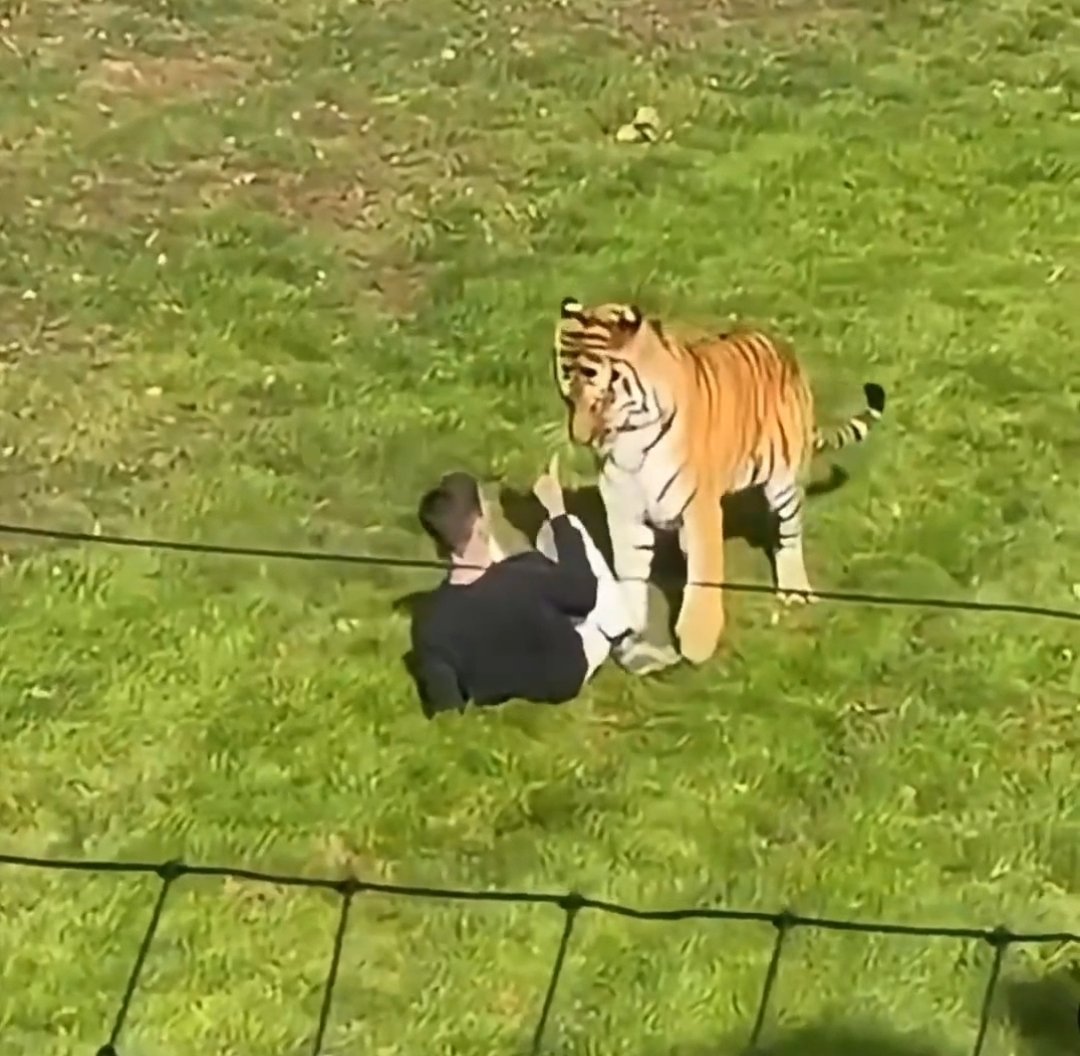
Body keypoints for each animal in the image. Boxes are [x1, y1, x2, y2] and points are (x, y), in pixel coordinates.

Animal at [552, 297, 887, 666]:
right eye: (567, 394)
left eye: (603, 394)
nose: (580, 438)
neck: (630, 443)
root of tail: (782, 347)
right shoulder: (624, 511)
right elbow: (629, 572)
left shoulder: (699, 508)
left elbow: (703, 577)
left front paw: (697, 644)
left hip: (783, 483)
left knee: (788, 534)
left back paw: (794, 589)